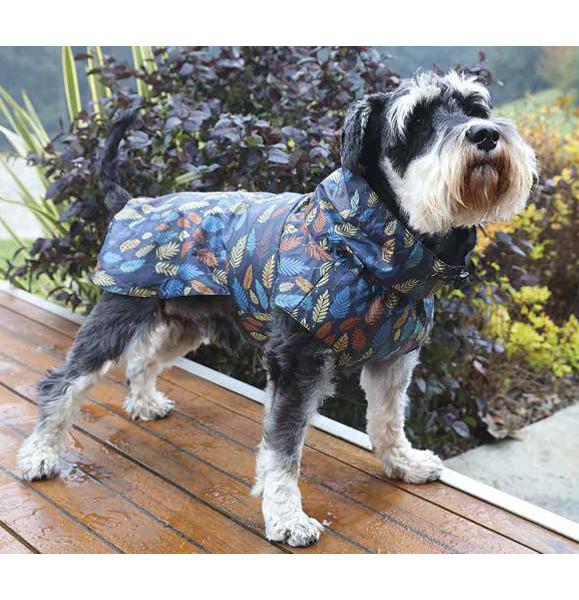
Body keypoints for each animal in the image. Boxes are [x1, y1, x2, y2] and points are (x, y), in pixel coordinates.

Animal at [17, 70, 537, 547]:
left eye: (475, 107)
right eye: (418, 120)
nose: (485, 135)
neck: (371, 249)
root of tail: (132, 202)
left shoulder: (394, 357)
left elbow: (388, 419)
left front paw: (402, 462)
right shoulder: (296, 365)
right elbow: (283, 448)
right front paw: (287, 518)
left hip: (188, 325)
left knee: (144, 359)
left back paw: (143, 402)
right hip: (117, 315)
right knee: (62, 382)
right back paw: (40, 455)